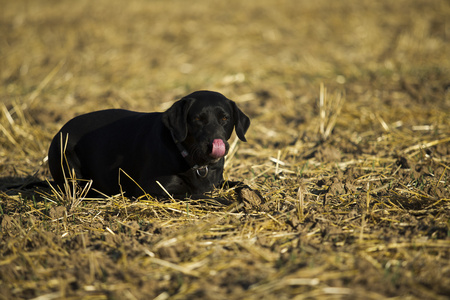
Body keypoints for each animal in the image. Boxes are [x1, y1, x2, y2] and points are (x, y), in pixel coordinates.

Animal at [48, 90, 251, 198]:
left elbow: (243, 184)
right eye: (197, 119)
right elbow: (195, 195)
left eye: (224, 118)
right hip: (68, 161)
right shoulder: (154, 188)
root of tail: (60, 130)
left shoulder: (218, 181)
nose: (215, 145)